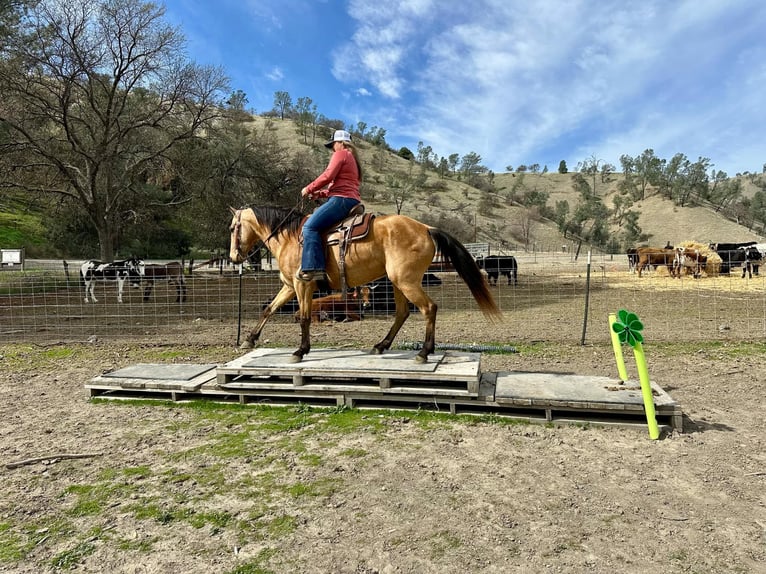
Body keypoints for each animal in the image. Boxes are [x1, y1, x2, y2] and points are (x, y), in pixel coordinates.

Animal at [230, 206, 504, 364]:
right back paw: (382, 345)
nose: (233, 257)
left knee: (429, 308)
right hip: (397, 283)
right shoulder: (289, 286)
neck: (289, 237)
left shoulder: (302, 285)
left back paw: (424, 352)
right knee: (403, 313)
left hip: (406, 281)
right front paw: (249, 339)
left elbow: (305, 317)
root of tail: (426, 228)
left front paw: (300, 351)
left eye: (233, 227)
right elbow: (269, 309)